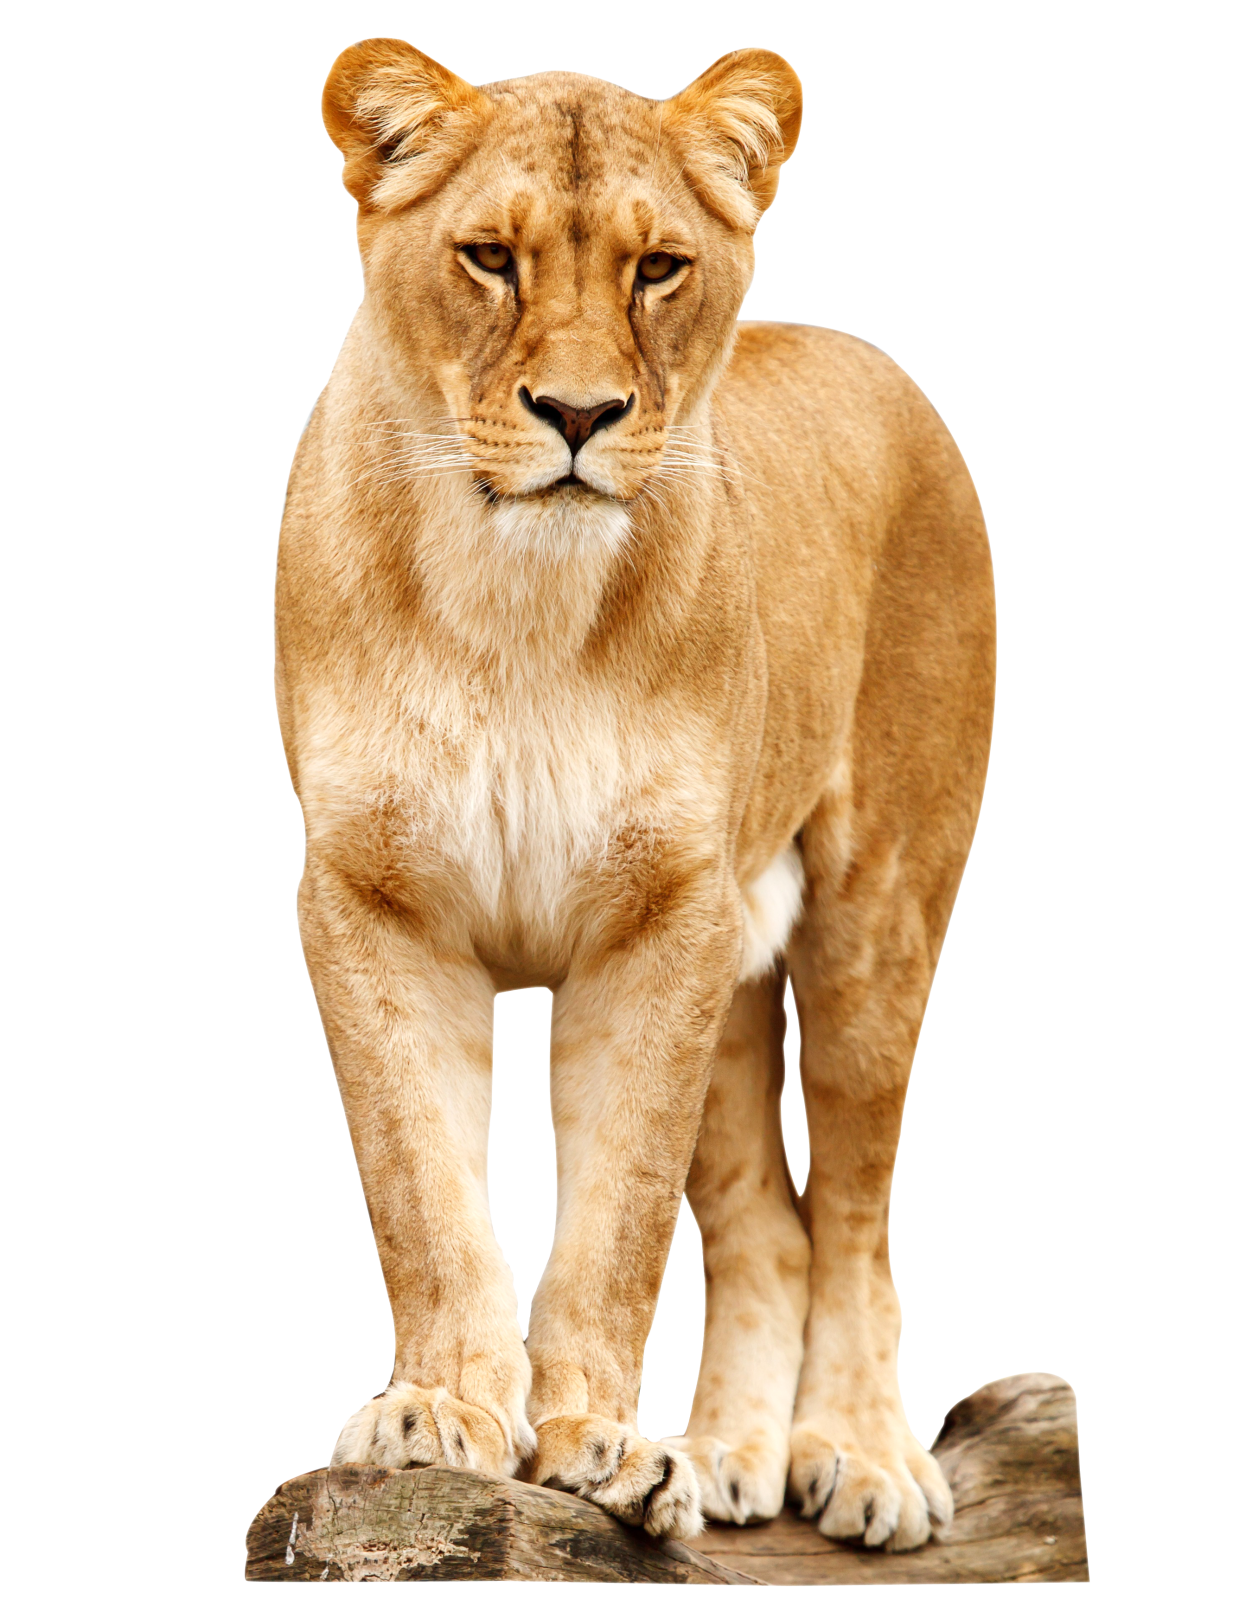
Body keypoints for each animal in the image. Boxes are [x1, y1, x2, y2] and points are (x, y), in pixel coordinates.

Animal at [274, 39, 996, 1552]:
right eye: (489, 257)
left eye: (660, 268)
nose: (579, 416)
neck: (514, 600)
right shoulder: (373, 901)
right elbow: (424, 1192)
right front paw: (440, 1413)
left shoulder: (661, 918)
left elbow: (617, 1220)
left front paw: (594, 1445)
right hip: (737, 966)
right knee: (771, 1226)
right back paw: (724, 1459)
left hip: (875, 919)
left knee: (854, 1213)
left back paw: (863, 1457)